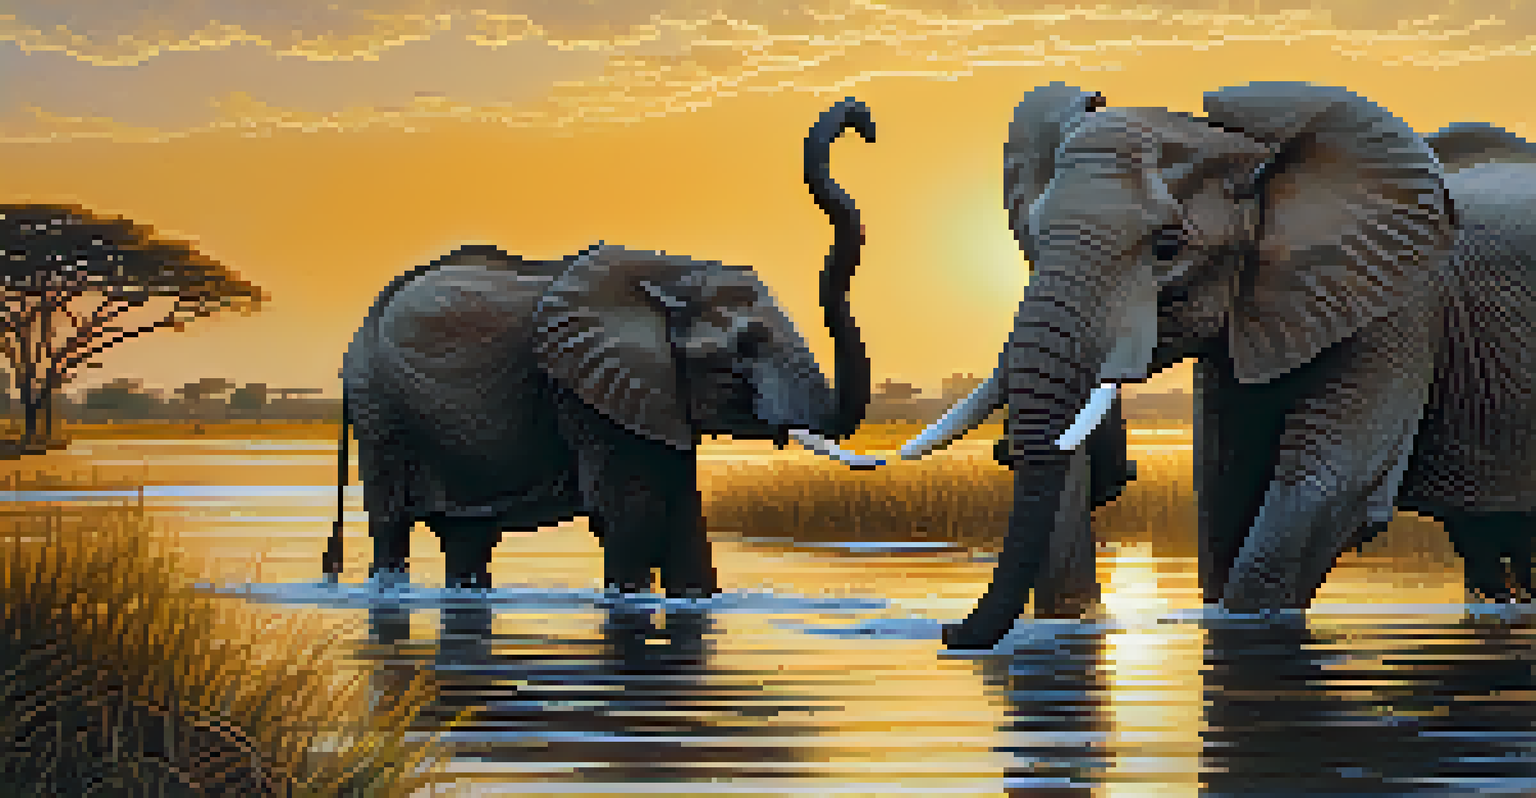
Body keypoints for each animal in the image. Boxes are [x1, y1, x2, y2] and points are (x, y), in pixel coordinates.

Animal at [322, 98, 875, 594]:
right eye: (746, 344)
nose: (864, 121)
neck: (669, 270)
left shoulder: (650, 396)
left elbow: (686, 518)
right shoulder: (587, 393)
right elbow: (633, 514)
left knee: (466, 535)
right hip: (381, 413)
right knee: (391, 524)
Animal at [869, 81, 1536, 649]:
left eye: (1167, 247)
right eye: (1031, 234)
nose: (949, 633)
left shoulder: (1397, 302)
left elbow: (1327, 488)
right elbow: (1227, 492)